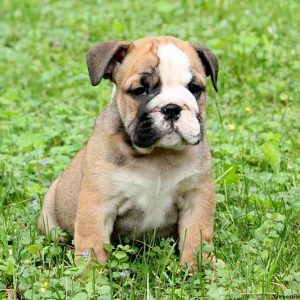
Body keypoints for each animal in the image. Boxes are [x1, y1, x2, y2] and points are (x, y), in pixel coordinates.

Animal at [37, 36, 220, 268]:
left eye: (194, 88)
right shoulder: (97, 205)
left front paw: (199, 267)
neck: (158, 155)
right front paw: (90, 275)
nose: (171, 108)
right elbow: (92, 244)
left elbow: (197, 236)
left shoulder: (197, 197)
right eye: (140, 90)